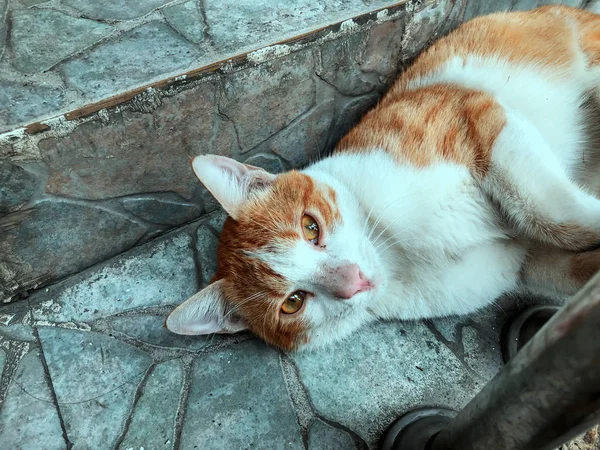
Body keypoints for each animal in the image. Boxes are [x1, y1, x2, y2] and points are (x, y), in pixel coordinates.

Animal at [166, 5, 600, 354]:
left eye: (310, 227)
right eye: (293, 303)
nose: (353, 281)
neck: (398, 256)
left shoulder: (475, 114)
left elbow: (550, 211)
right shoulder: (526, 262)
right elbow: (570, 265)